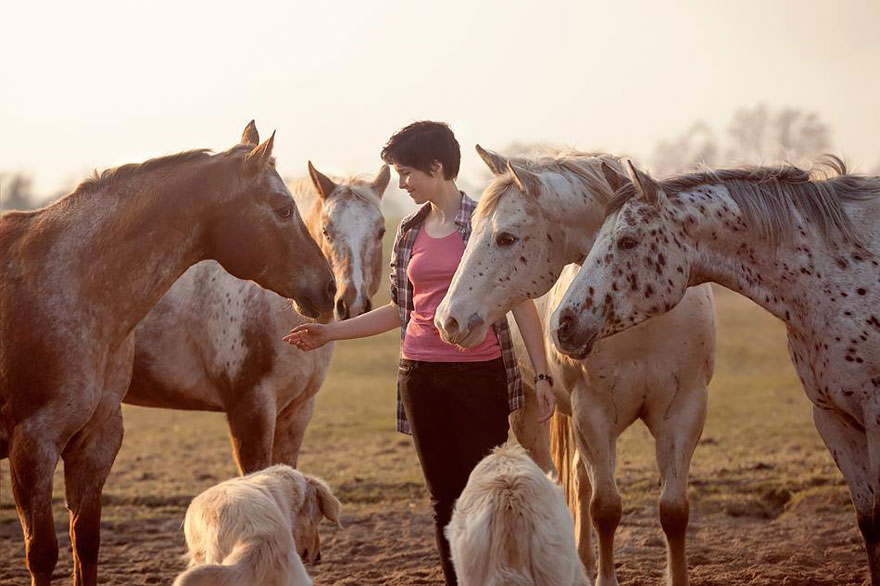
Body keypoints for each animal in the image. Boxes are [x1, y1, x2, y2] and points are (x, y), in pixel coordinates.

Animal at [0, 121, 335, 586]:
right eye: (284, 209)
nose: (329, 287)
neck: (69, 286)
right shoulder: (33, 445)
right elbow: (43, 553)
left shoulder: (95, 440)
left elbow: (86, 542)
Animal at [124, 162, 389, 474]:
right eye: (326, 231)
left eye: (381, 231)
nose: (351, 302)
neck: (271, 308)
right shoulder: (251, 410)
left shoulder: (297, 412)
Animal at [435, 146, 715, 586]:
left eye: (506, 237)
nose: (449, 320)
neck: (640, 322)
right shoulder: (593, 414)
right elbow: (606, 509)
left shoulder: (684, 411)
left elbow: (674, 511)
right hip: (535, 416)